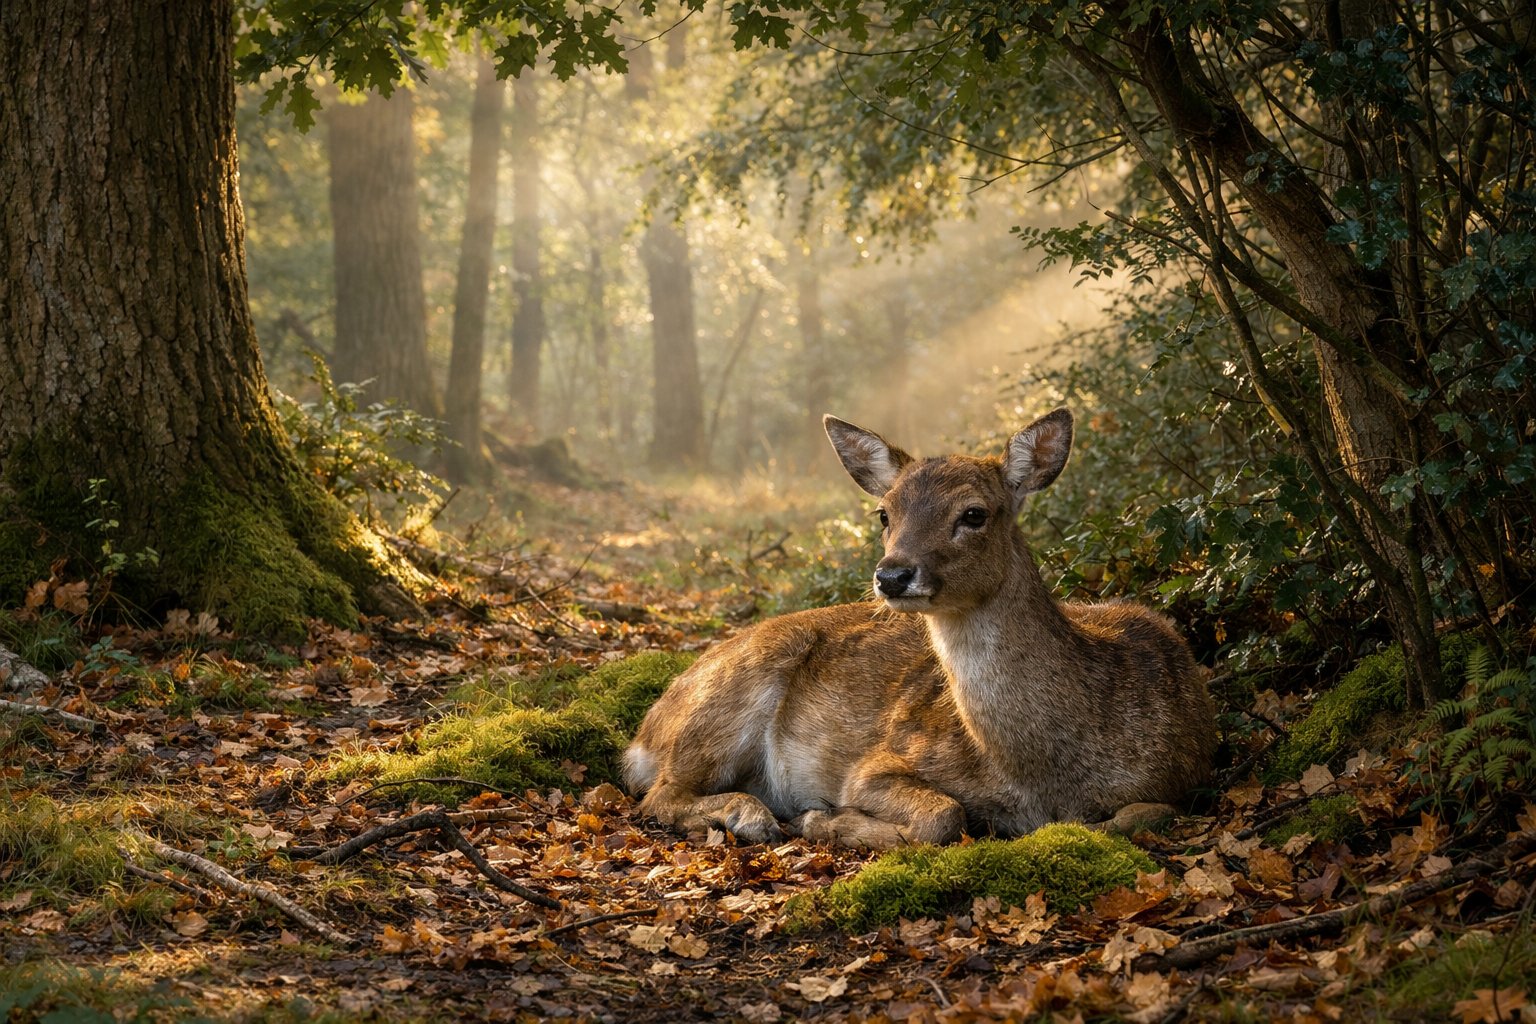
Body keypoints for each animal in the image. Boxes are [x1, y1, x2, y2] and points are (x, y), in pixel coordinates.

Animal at [623, 409, 1217, 848]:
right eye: (884, 514)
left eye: (974, 513)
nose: (891, 575)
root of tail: (645, 734)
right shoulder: (879, 760)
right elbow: (943, 815)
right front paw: (824, 820)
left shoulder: (1182, 777)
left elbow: (1142, 814)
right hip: (729, 695)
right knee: (659, 794)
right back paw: (751, 815)